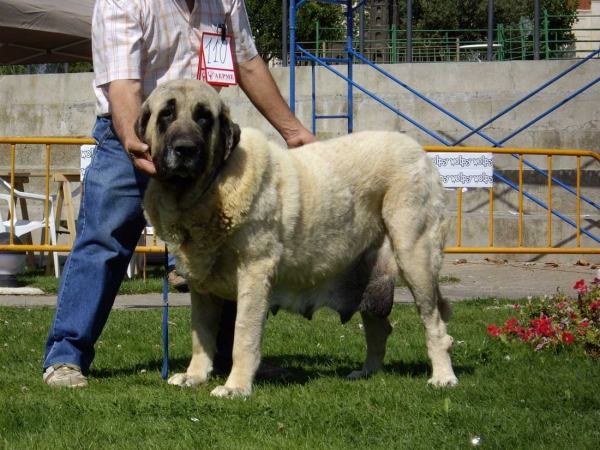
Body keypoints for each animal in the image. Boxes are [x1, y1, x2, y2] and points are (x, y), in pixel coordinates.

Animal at [138, 79, 458, 396]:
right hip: (369, 272)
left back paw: (443, 376)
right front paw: (195, 375)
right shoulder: (201, 285)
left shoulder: (254, 272)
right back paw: (367, 372)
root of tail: (419, 151)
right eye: (166, 114)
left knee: (434, 325)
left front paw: (235, 387)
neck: (206, 191)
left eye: (204, 117)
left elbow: (242, 335)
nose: (185, 149)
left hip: (415, 258)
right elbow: (201, 334)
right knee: (379, 328)